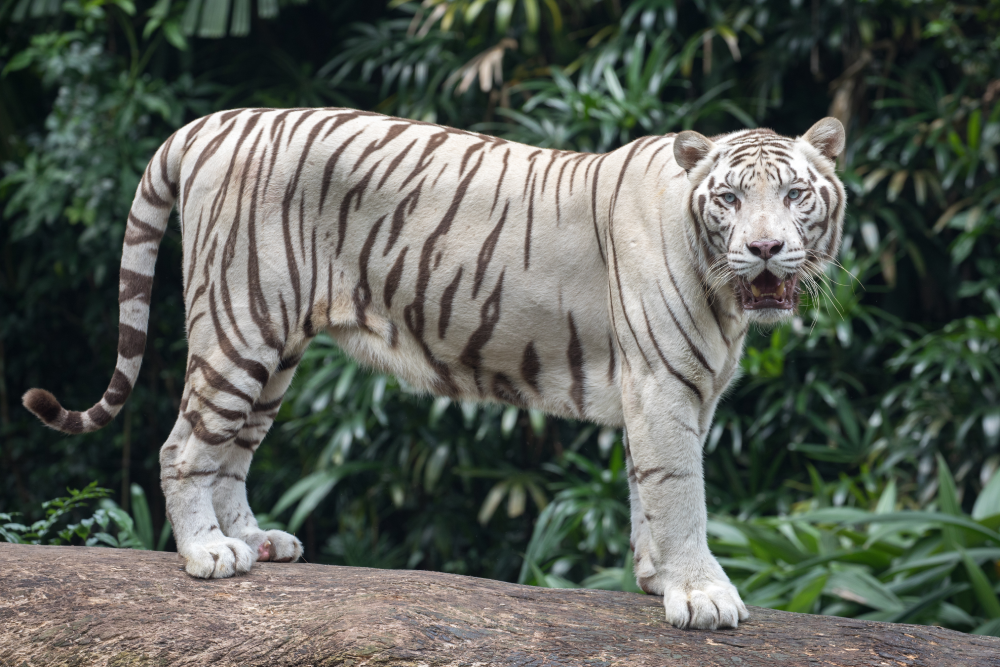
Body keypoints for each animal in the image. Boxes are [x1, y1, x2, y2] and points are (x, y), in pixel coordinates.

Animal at [23, 107, 844, 628]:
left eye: (795, 194)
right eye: (729, 198)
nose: (765, 249)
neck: (726, 296)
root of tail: (210, 123)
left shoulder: (670, 393)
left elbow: (649, 490)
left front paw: (655, 579)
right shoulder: (664, 384)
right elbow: (681, 493)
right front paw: (702, 596)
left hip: (275, 348)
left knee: (231, 452)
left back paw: (255, 541)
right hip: (239, 325)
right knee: (184, 446)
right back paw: (208, 553)